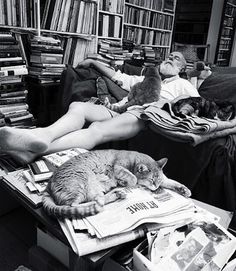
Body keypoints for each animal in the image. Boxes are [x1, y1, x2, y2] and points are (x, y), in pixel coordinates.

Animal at [41, 150, 191, 220]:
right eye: (151, 181)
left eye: (158, 181)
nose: (156, 188)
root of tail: (48, 184)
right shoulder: (118, 168)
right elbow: (133, 179)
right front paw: (126, 183)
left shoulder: (165, 180)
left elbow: (173, 182)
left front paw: (184, 190)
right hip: (83, 182)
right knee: (78, 205)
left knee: (98, 200)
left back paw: (117, 194)